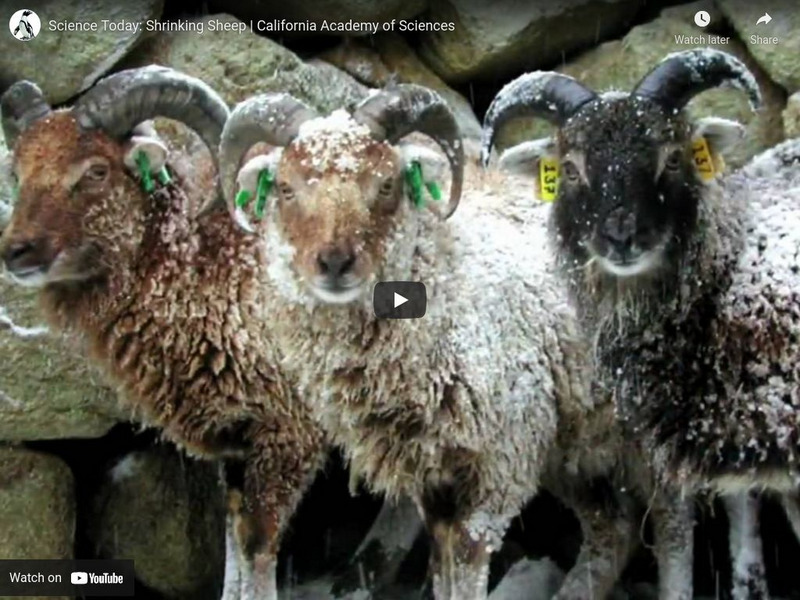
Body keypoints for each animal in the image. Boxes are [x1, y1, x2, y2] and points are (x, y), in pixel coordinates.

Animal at [0, 66, 326, 600]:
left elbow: (258, 547)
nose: (16, 252)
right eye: (18, 171)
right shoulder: (236, 439)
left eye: (96, 171)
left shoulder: (289, 431)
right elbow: (234, 539)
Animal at [215, 84, 648, 600]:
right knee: (613, 528)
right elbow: (443, 567)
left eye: (386, 184)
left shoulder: (500, 464)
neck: (448, 285)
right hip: (578, 441)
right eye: (285, 187)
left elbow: (467, 562)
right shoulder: (432, 475)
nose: (335, 263)